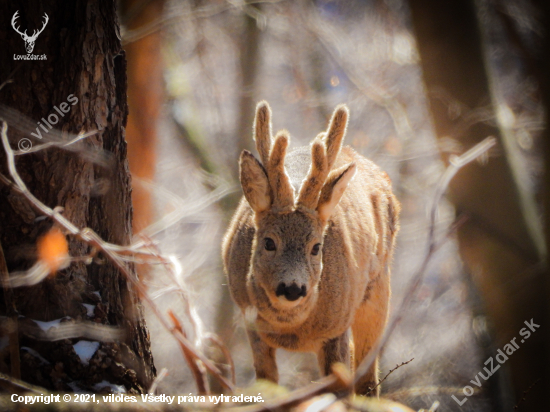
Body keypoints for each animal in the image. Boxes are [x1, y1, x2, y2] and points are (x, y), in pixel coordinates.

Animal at [223, 100, 402, 396]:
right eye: (269, 242)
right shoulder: (251, 327)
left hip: (378, 289)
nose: (292, 288)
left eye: (317, 247)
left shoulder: (336, 330)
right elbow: (267, 385)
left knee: (367, 375)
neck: (292, 330)